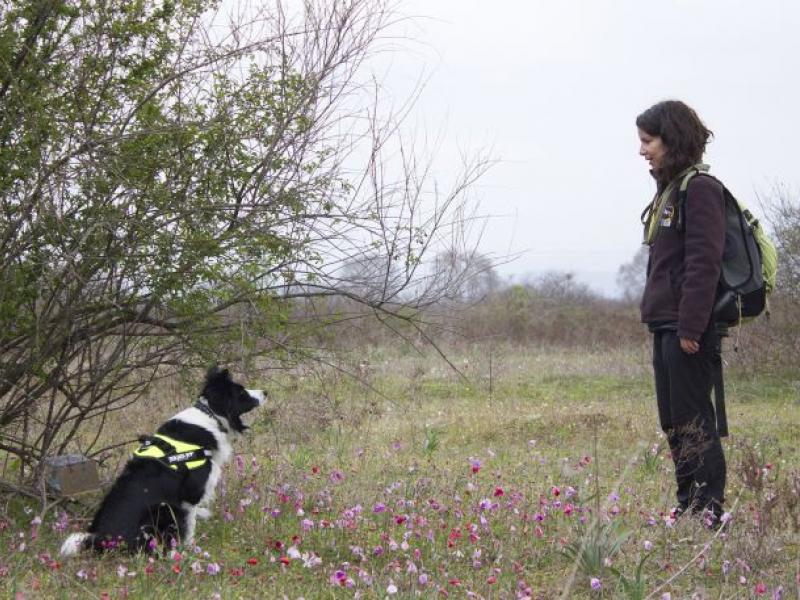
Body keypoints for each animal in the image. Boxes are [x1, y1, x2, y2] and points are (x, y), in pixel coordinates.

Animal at [61, 368, 266, 556]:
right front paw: (190, 550)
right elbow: (189, 526)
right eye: (242, 393)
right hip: (162, 510)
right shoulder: (189, 495)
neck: (210, 416)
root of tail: (103, 540)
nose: (265, 392)